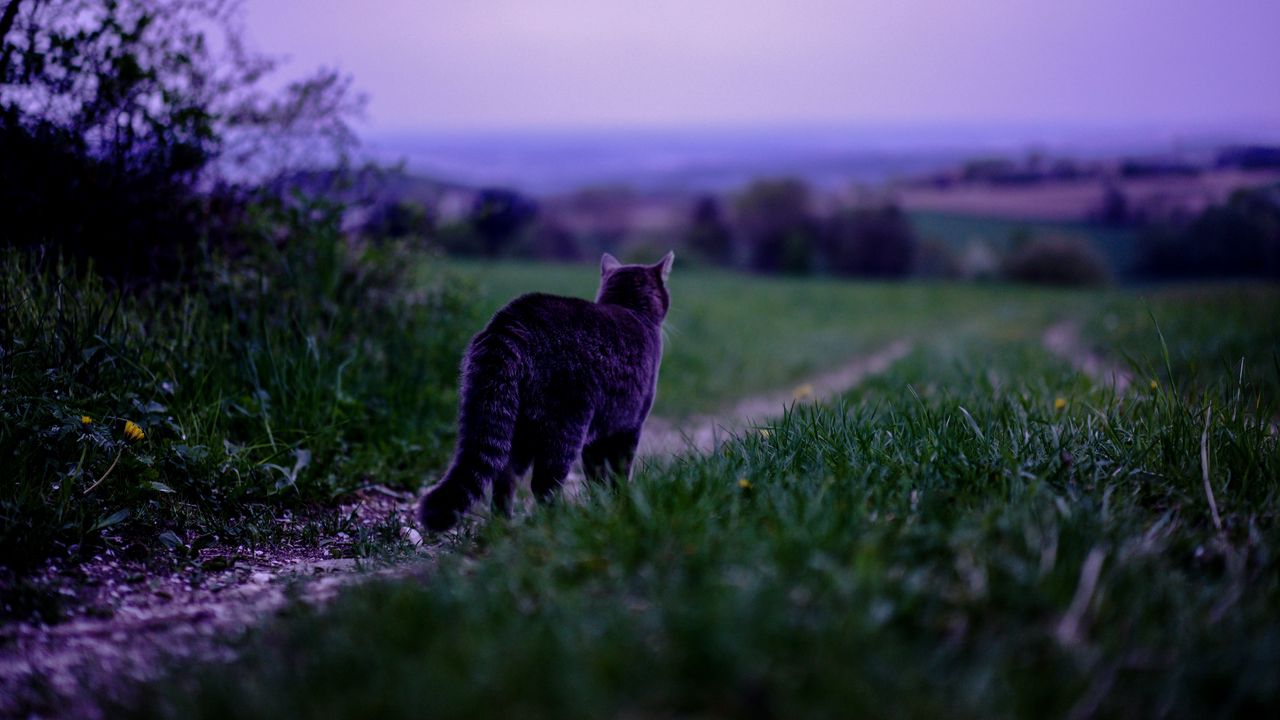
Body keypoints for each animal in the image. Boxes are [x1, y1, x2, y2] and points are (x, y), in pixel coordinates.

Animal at [422, 251, 680, 527]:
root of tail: (511, 323)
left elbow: (597, 477)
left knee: (505, 476)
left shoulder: (599, 433)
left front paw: (603, 506)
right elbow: (618, 473)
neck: (629, 307)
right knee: (543, 484)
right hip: (566, 423)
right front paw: (616, 505)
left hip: (514, 422)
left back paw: (503, 524)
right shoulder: (628, 426)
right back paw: (558, 522)